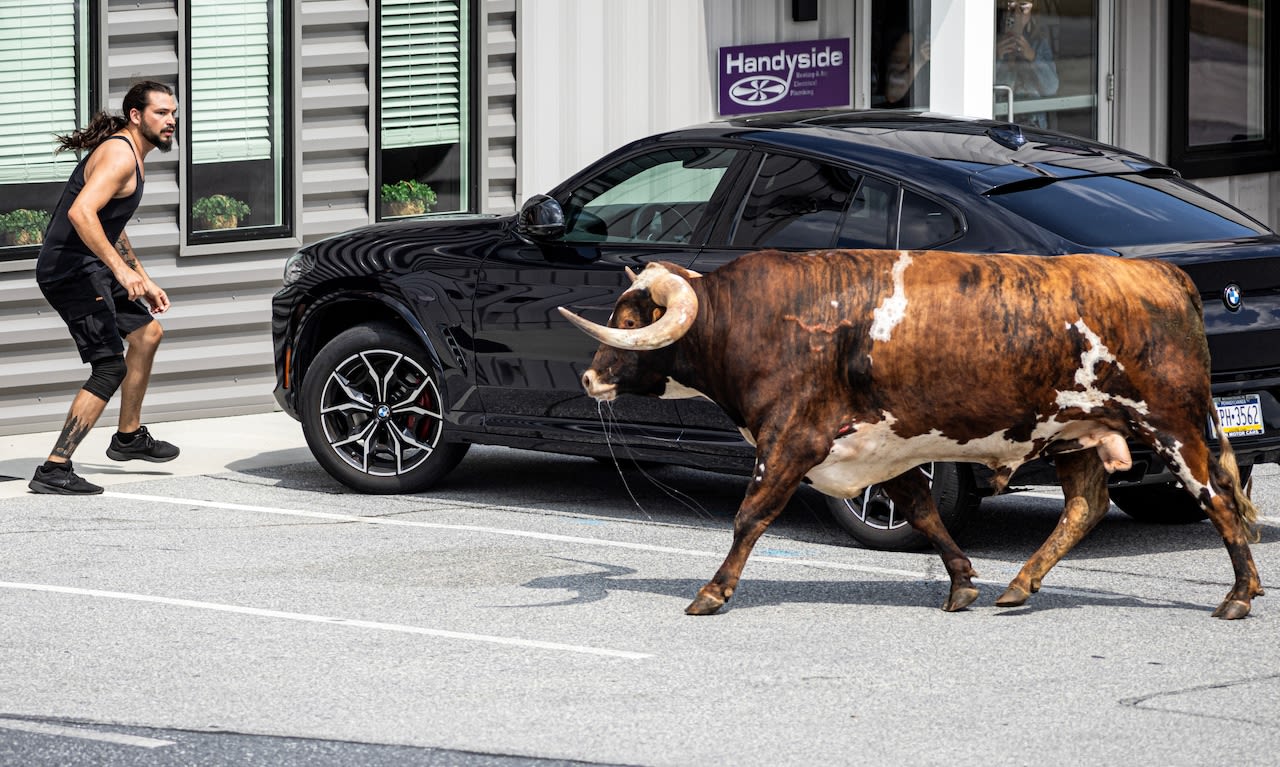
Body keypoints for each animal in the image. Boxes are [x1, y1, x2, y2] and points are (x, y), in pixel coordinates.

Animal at [558, 249, 1259, 622]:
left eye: (628, 320)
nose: (589, 376)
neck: (755, 320)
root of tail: (1163, 273)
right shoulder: (881, 447)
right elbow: (923, 512)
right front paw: (963, 581)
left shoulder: (791, 439)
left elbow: (750, 515)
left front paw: (712, 591)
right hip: (1076, 432)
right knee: (1086, 505)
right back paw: (1018, 586)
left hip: (1172, 426)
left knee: (1219, 501)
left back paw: (1239, 596)